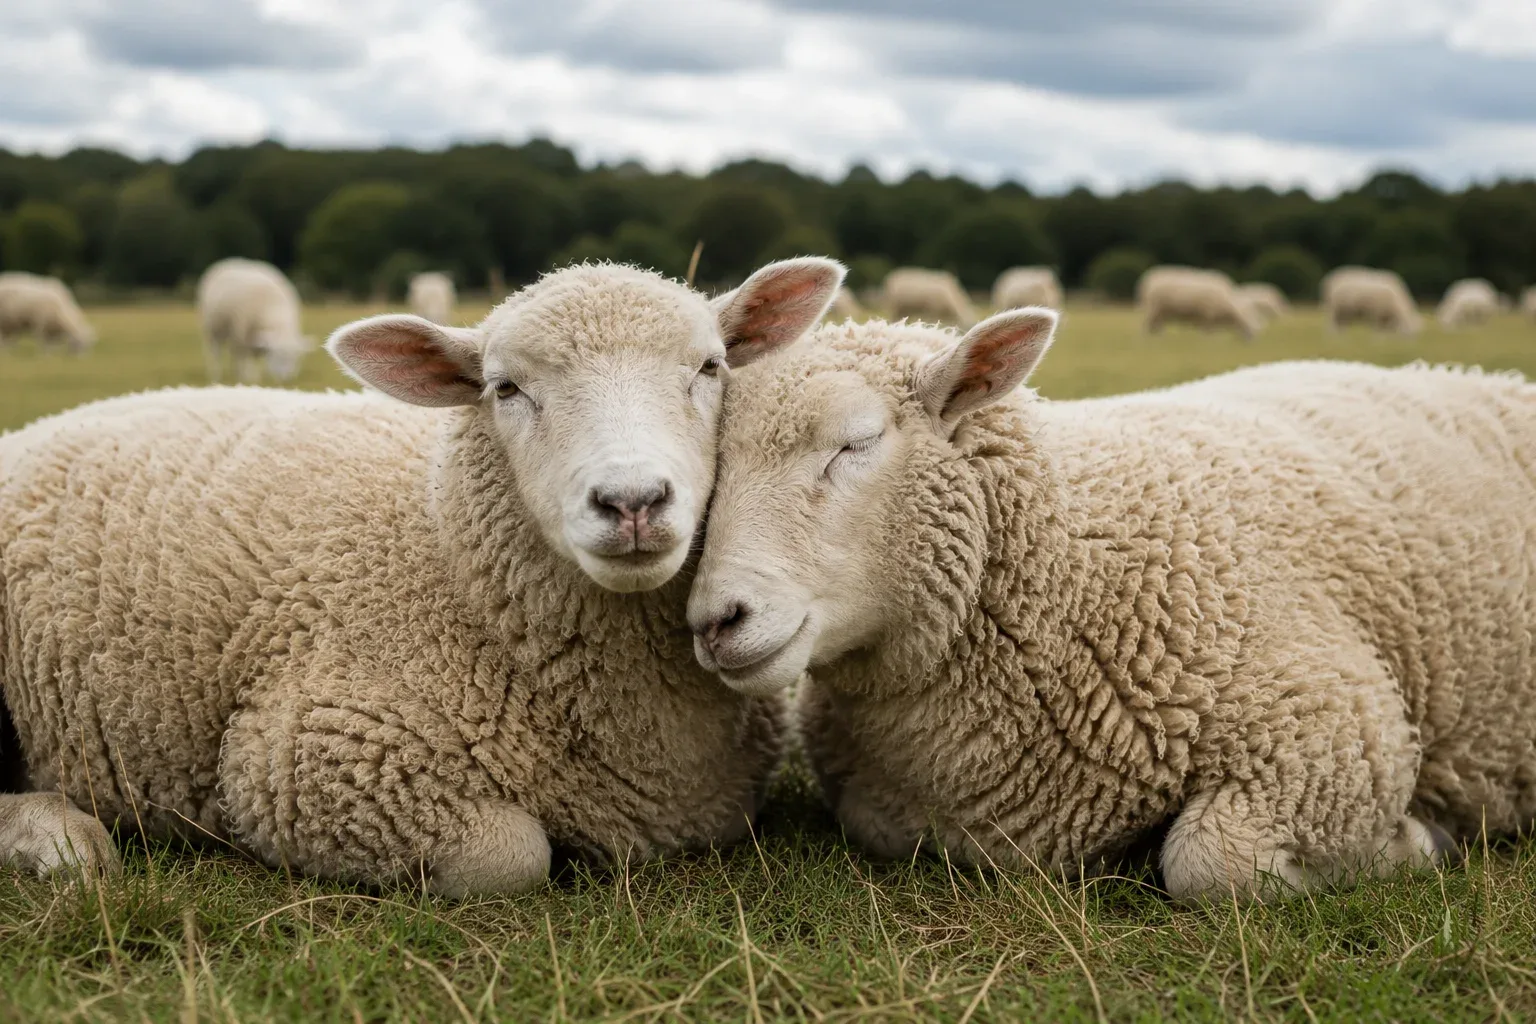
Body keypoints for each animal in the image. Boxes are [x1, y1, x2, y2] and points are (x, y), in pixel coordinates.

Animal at [0, 257, 845, 893]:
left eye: (711, 367)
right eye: (505, 388)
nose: (632, 501)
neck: (444, 547)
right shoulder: (306, 758)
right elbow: (511, 857)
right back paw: (57, 844)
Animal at [687, 309, 1536, 902]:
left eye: (855, 443)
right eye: (714, 464)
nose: (715, 621)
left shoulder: (1334, 731)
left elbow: (1211, 864)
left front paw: (1413, 844)